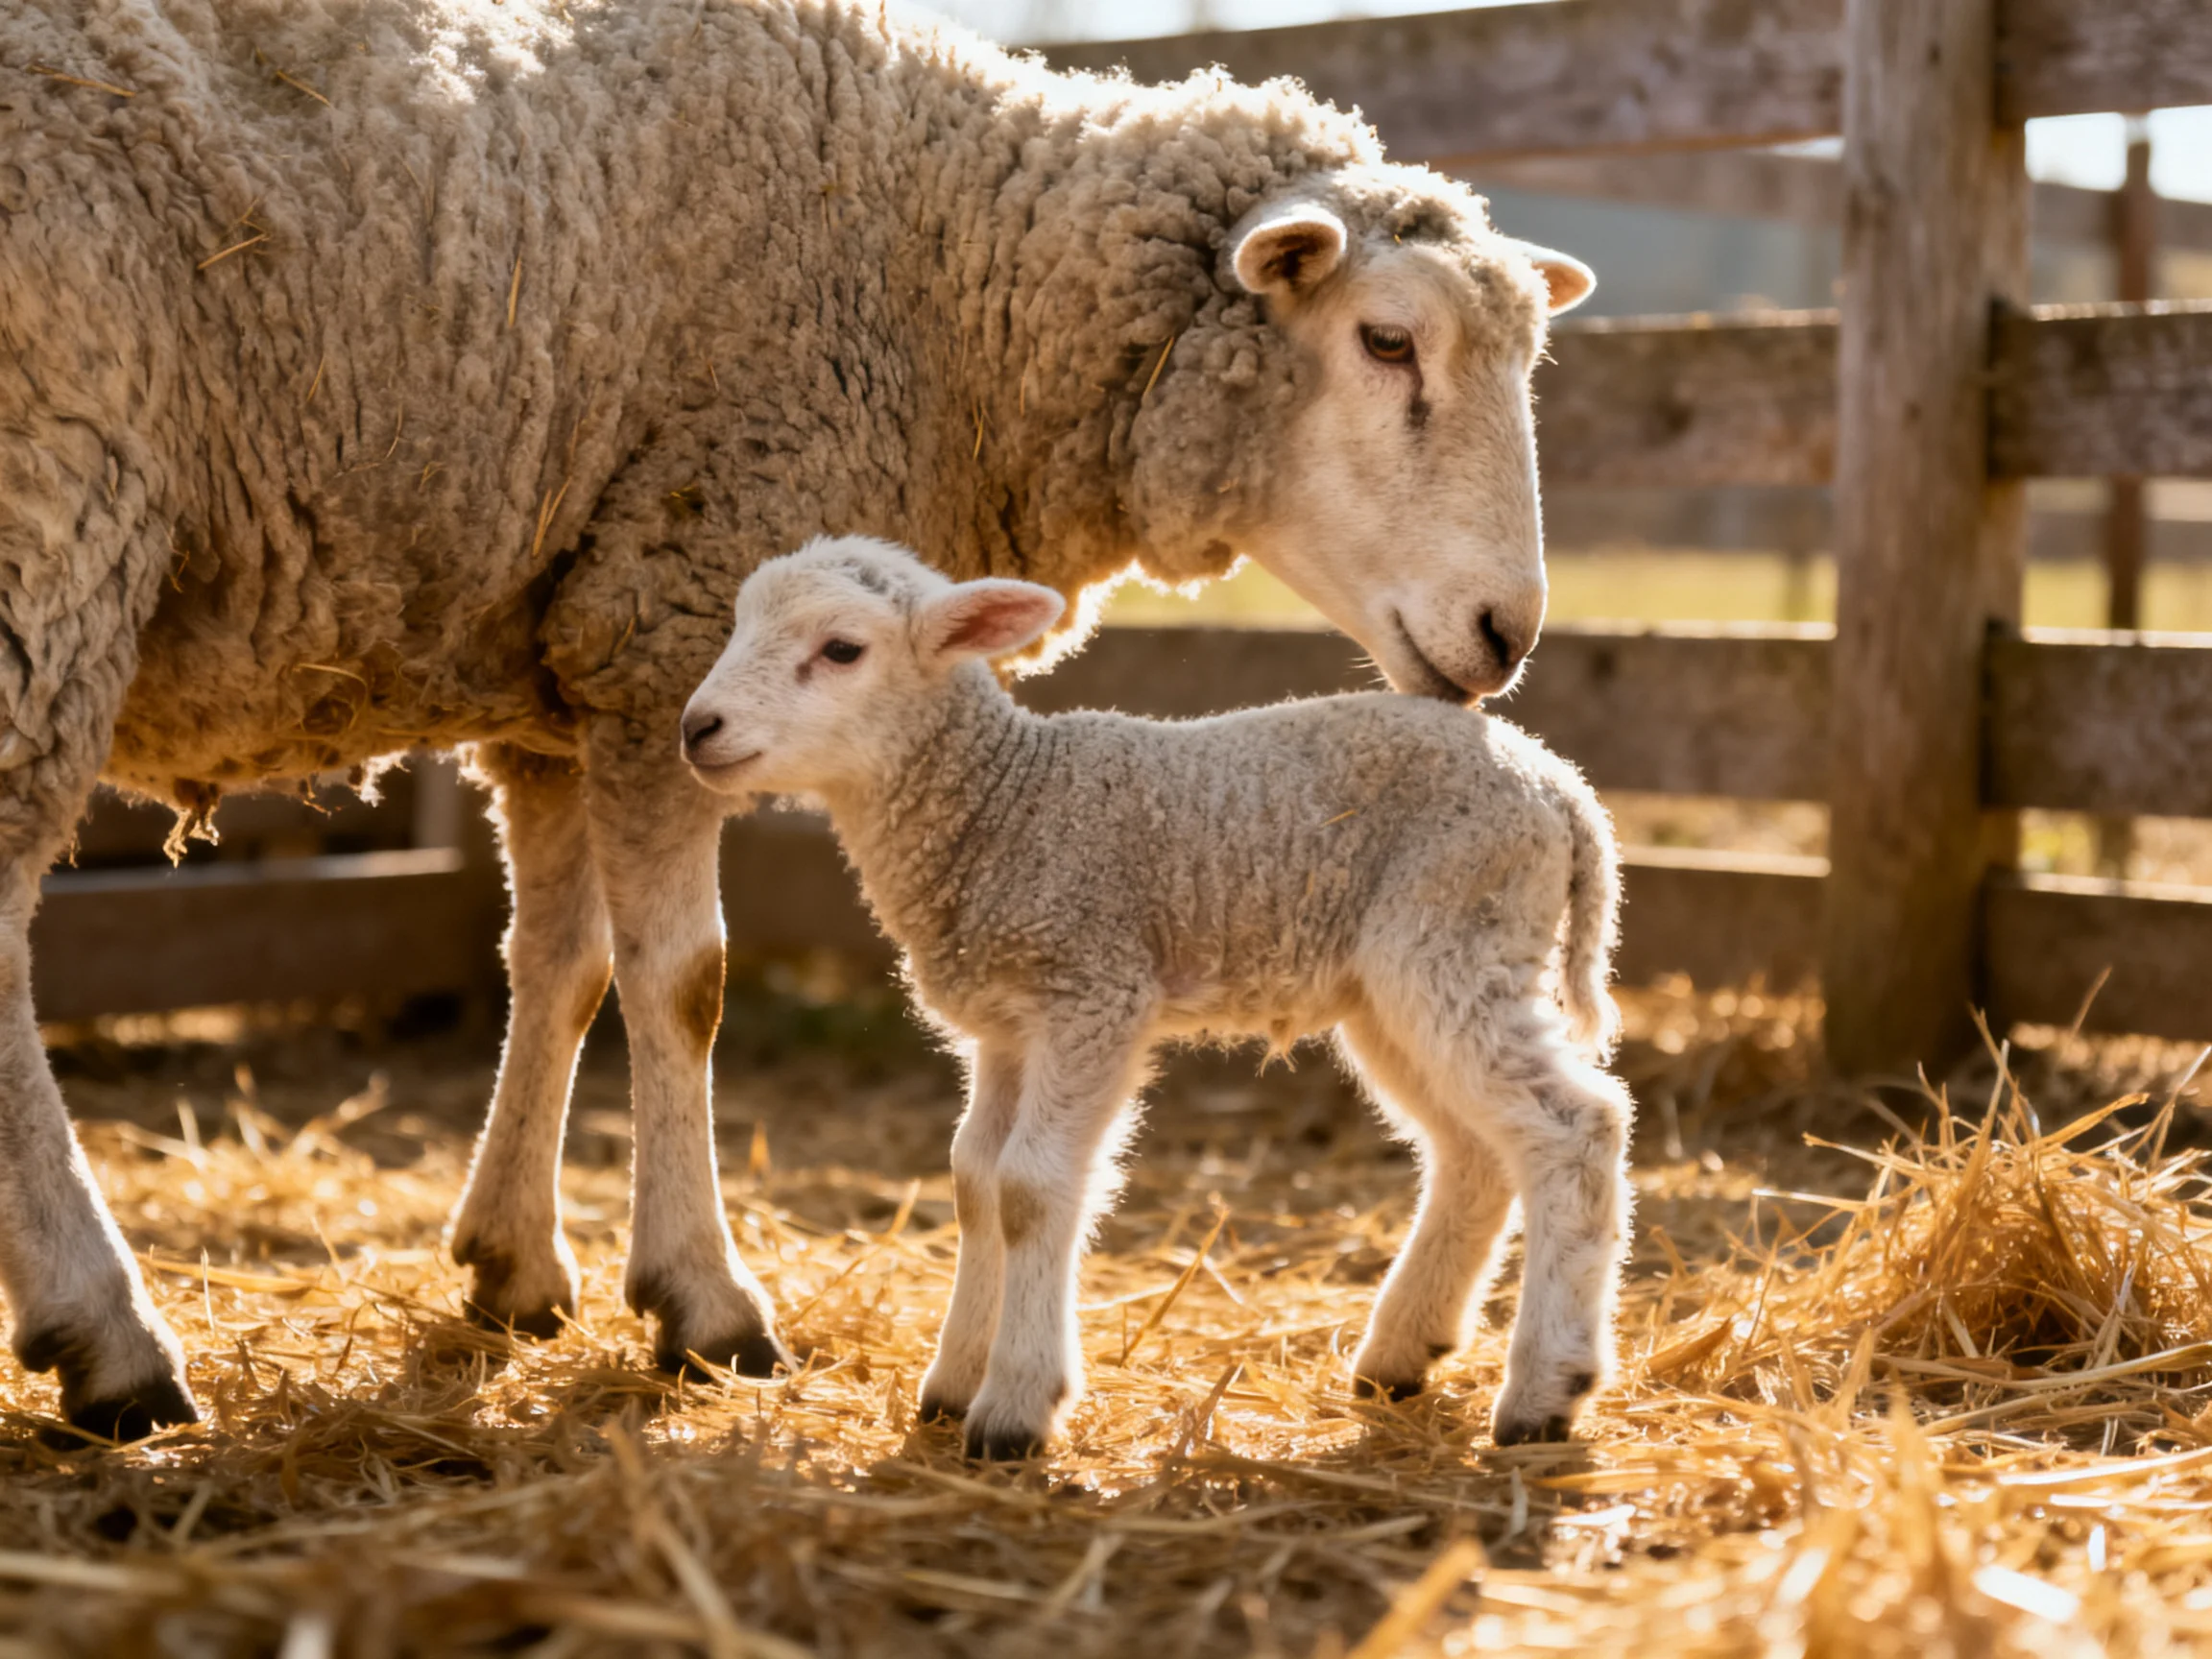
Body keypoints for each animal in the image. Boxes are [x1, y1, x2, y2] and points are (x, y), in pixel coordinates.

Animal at [682, 536, 1634, 1458]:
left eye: (842, 649)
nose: (696, 728)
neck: (1001, 805)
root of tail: (1566, 790)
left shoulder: (1093, 991)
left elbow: (1029, 1187)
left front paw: (1014, 1408)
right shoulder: (1009, 1024)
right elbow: (974, 1179)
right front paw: (952, 1385)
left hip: (1457, 938)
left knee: (1575, 1128)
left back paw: (1546, 1393)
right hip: (1397, 986)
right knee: (1474, 1152)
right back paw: (1402, 1354)